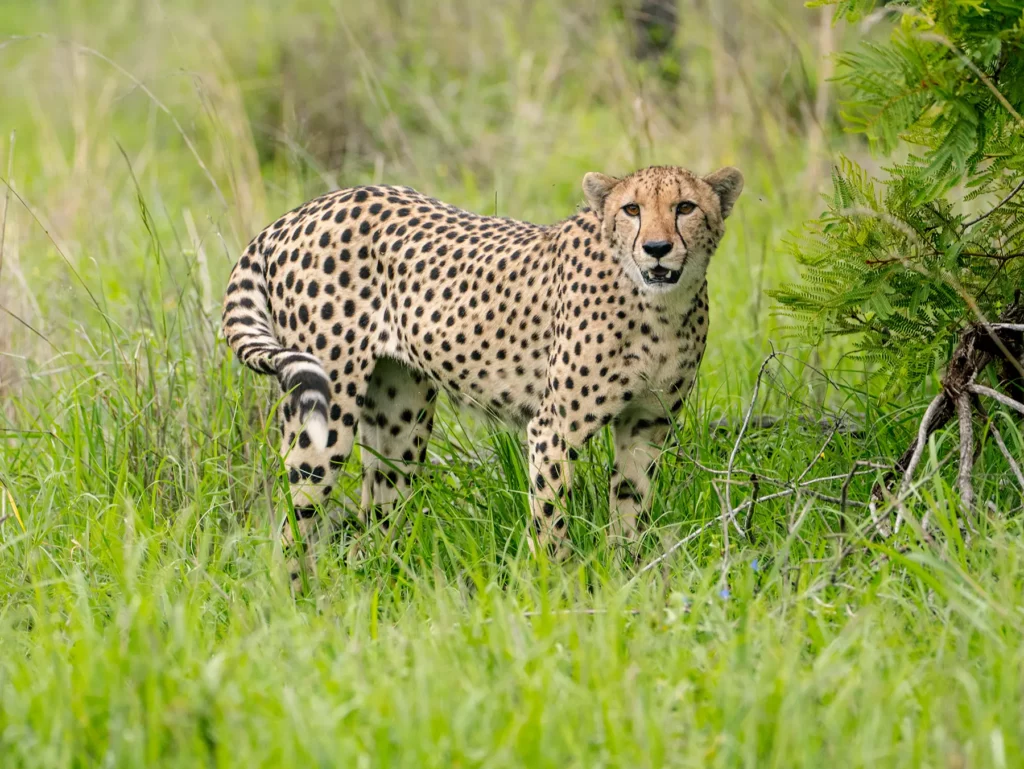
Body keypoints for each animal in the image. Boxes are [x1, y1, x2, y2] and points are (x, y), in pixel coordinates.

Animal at [220, 164, 743, 588]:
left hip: (401, 421)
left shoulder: (646, 425)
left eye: (685, 207)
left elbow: (631, 510)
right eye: (632, 209)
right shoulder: (553, 429)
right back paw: (299, 606)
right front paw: (553, 593)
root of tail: (302, 210)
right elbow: (549, 521)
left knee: (376, 518)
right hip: (327, 416)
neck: (659, 307)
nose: (656, 249)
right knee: (292, 526)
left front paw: (627, 579)